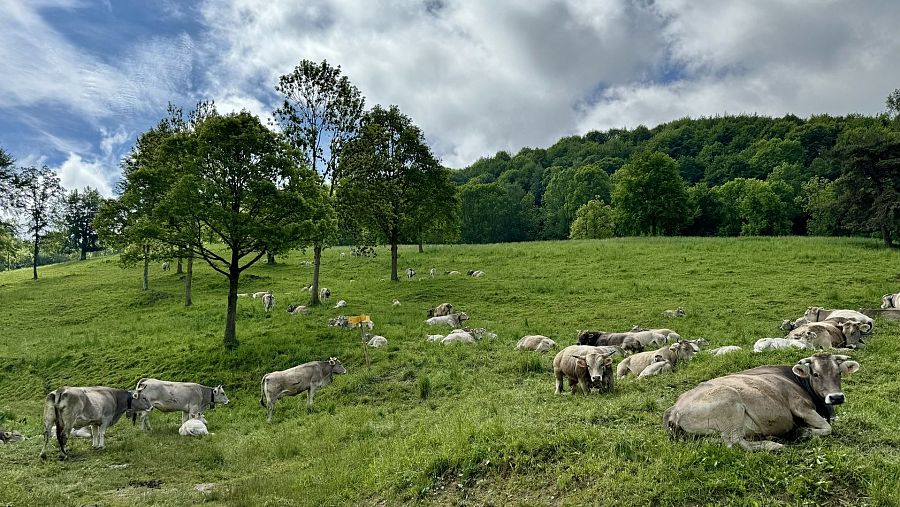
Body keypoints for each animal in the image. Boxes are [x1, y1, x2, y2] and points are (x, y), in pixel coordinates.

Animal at [664, 354, 860, 452]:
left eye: (839, 373)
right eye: (816, 374)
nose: (836, 397)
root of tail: (674, 409)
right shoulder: (801, 407)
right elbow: (828, 428)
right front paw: (804, 432)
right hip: (730, 403)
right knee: (735, 443)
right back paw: (773, 444)